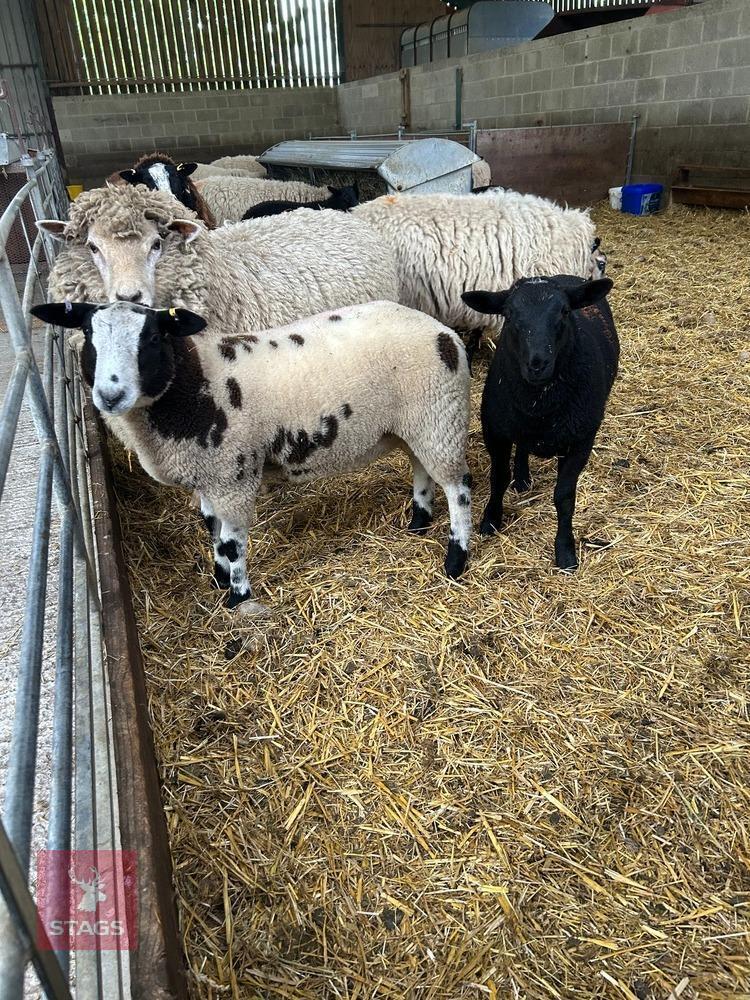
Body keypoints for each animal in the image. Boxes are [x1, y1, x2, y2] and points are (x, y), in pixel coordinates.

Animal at [31, 299, 473, 612]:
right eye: (88, 333)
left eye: (153, 338)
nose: (110, 395)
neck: (195, 383)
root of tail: (442, 331)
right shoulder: (207, 475)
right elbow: (210, 526)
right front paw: (217, 577)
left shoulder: (233, 475)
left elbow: (231, 541)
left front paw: (237, 596)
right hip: (417, 425)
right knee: (422, 470)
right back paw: (418, 523)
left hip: (439, 413)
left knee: (459, 487)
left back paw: (455, 559)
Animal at [461, 275, 618, 572]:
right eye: (509, 314)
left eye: (564, 312)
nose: (538, 363)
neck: (539, 405)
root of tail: (565, 277)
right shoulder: (495, 431)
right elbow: (499, 478)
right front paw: (490, 520)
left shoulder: (581, 441)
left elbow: (564, 496)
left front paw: (565, 550)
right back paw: (522, 478)